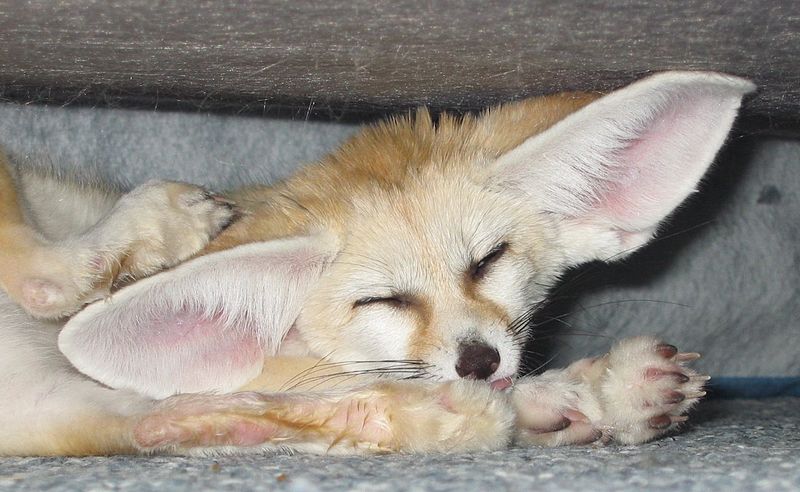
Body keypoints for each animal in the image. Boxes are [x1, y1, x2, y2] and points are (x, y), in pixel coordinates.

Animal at [0, 71, 754, 456]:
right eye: (382, 301)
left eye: (487, 261)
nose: (478, 360)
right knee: (42, 282)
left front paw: (591, 396)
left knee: (169, 423)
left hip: (69, 412)